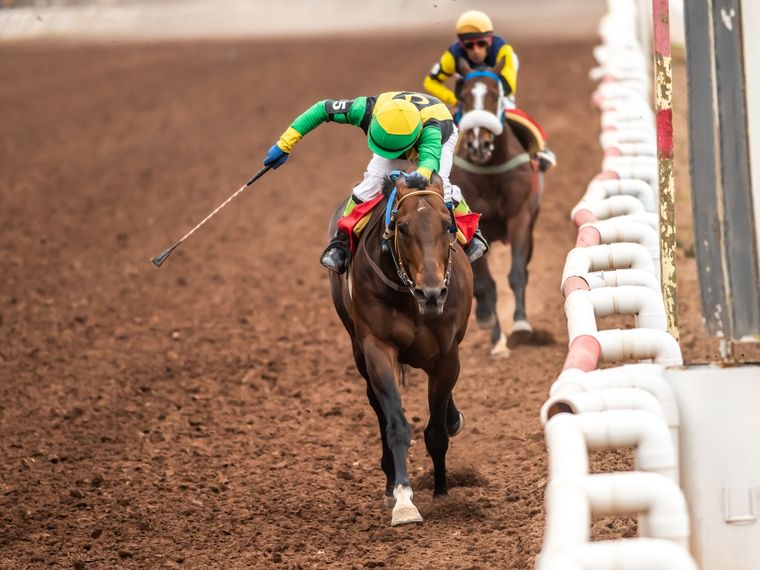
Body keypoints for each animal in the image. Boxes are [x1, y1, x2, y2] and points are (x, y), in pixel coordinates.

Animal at [328, 171, 473, 526]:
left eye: (447, 225)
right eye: (403, 227)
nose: (432, 293)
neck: (409, 296)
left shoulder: (447, 355)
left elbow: (436, 432)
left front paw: (442, 494)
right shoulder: (377, 348)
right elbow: (395, 424)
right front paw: (404, 500)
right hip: (358, 350)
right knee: (378, 409)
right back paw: (390, 484)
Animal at [451, 57, 545, 356]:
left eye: (495, 94)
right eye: (464, 96)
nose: (478, 144)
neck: (490, 172)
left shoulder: (520, 217)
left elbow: (517, 274)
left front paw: (521, 325)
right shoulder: (470, 225)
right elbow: (486, 285)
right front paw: (497, 340)